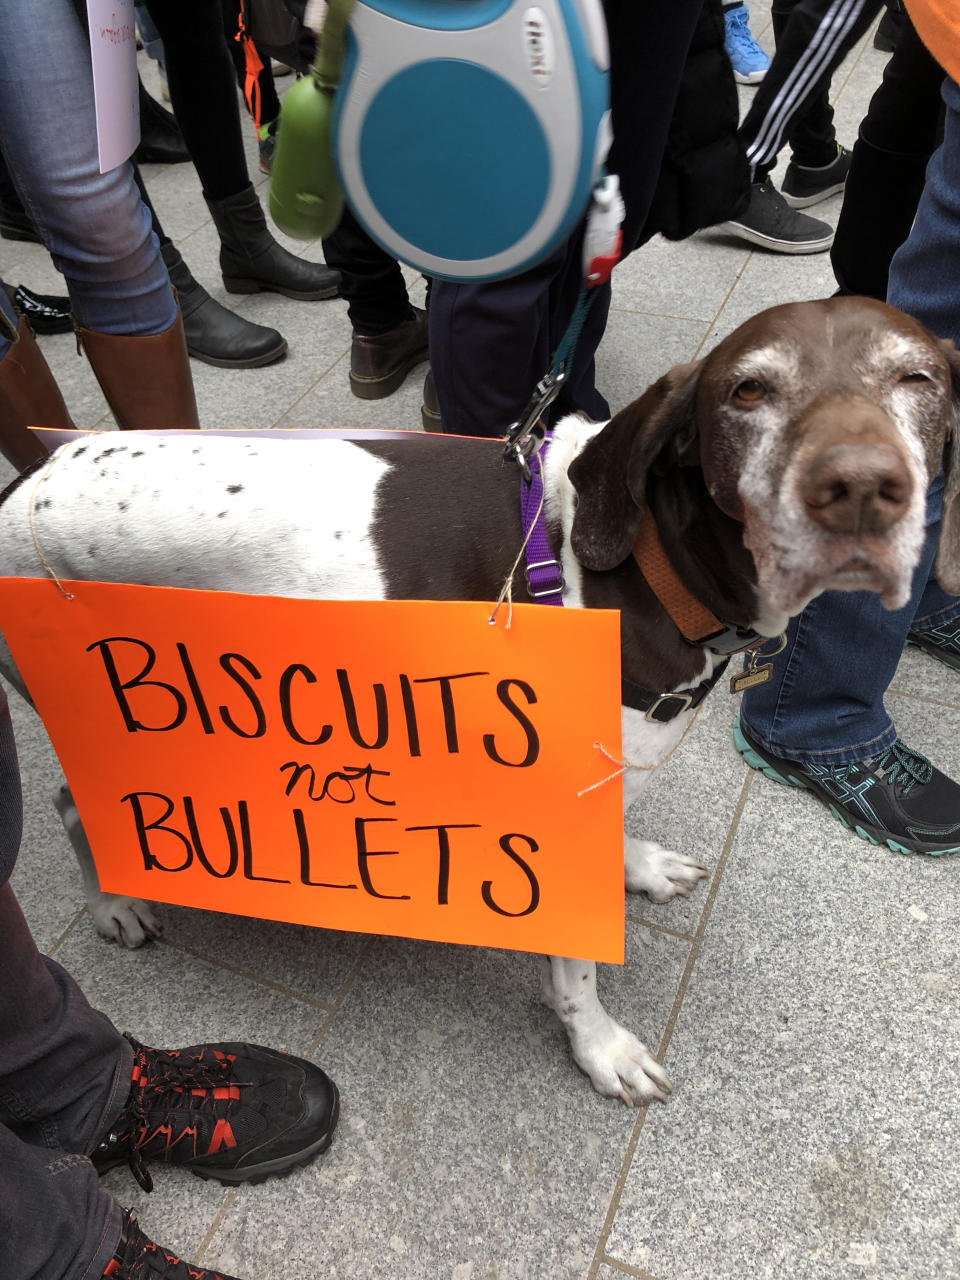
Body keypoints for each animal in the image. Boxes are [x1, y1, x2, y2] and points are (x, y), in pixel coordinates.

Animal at [1, 296, 960, 1100]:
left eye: (919, 379)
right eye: (748, 389)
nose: (860, 489)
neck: (649, 564)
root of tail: (32, 473)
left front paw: (640, 865)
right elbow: (575, 963)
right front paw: (598, 1046)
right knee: (71, 804)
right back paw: (113, 904)